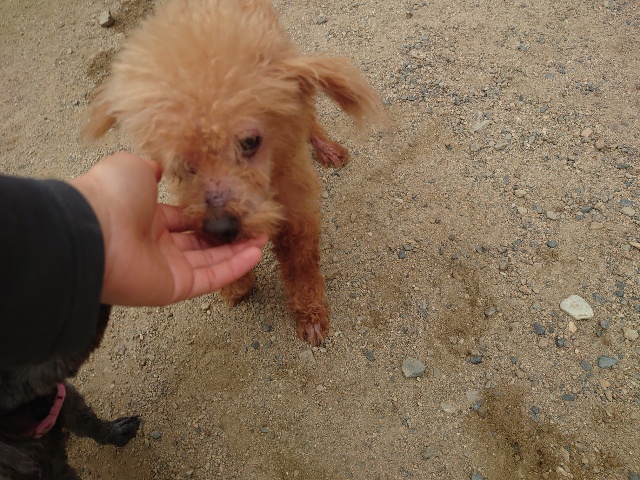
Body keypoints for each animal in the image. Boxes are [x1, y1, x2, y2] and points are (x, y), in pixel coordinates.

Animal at [84, 0, 386, 345]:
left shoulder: (296, 200)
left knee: (308, 114)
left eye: (250, 142)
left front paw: (310, 315)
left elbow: (301, 261)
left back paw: (327, 148)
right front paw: (237, 286)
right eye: (182, 163)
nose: (221, 227)